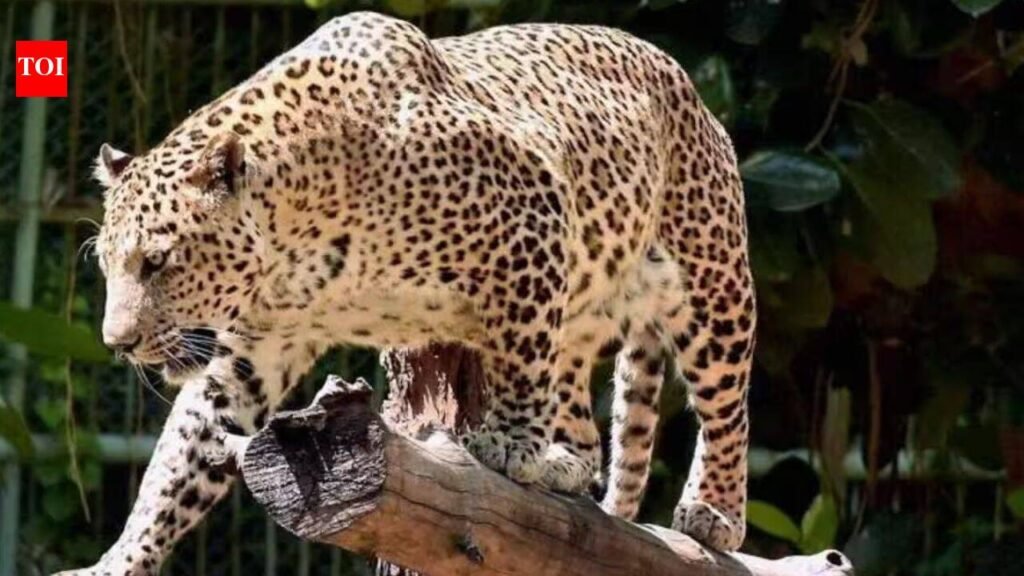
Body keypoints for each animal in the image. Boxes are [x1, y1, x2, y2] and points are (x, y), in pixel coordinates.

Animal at [60, 11, 755, 575]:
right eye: (108, 265)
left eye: (158, 261)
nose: (118, 342)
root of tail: (684, 80)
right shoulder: (255, 348)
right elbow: (181, 460)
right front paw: (120, 560)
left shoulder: (533, 222)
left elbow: (520, 358)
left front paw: (512, 443)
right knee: (582, 417)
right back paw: (565, 462)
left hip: (712, 277)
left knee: (726, 406)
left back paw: (711, 510)